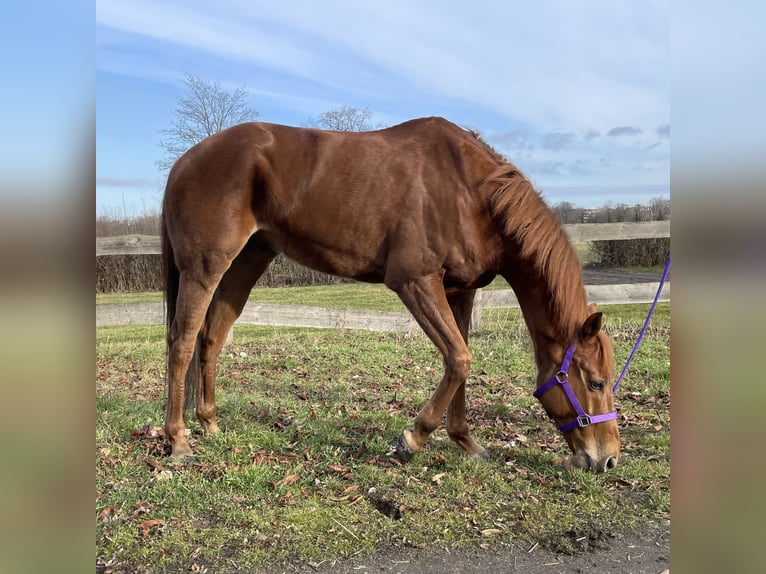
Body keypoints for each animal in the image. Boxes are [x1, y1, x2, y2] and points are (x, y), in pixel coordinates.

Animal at [161, 117, 620, 472]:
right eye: (596, 382)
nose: (608, 459)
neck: (470, 192)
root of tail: (185, 161)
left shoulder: (460, 292)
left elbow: (461, 362)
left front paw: (466, 443)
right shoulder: (414, 281)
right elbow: (459, 359)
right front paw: (412, 439)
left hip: (247, 261)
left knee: (211, 338)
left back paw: (210, 424)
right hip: (204, 267)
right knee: (181, 342)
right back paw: (178, 440)